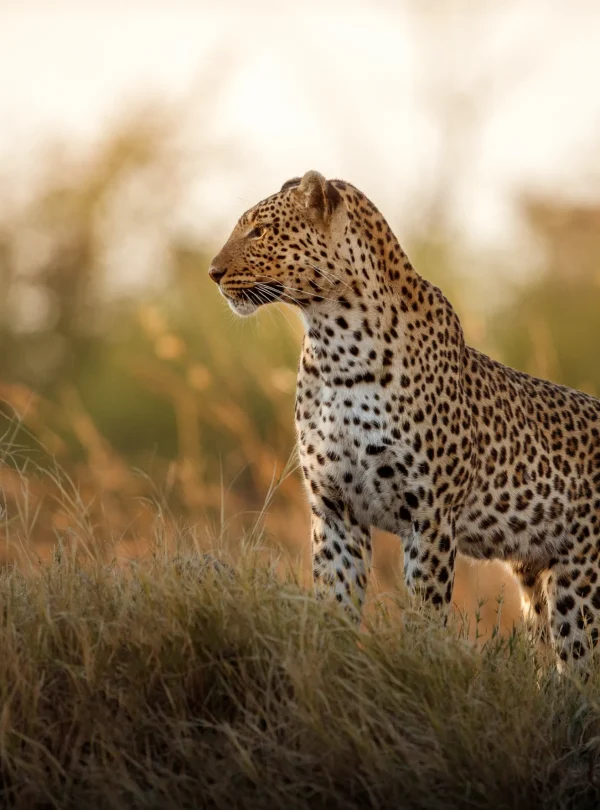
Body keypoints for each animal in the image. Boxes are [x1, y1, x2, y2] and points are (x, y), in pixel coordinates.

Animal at [209, 170, 600, 672]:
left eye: (258, 232)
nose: (213, 272)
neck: (336, 345)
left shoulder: (429, 516)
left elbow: (424, 615)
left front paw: (421, 667)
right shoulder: (335, 509)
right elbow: (334, 603)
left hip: (582, 585)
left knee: (581, 668)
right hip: (537, 582)